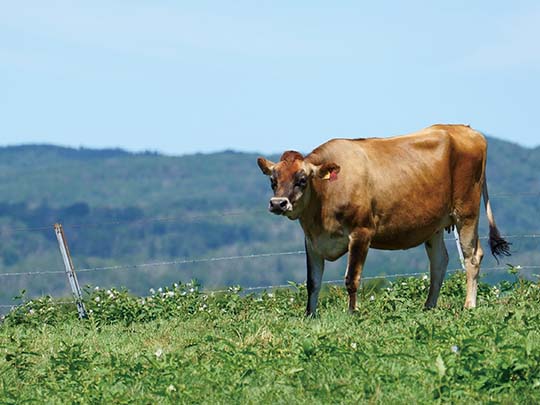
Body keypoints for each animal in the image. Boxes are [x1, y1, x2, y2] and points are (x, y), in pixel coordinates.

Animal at [258, 124, 510, 316]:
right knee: (440, 262)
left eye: (302, 180)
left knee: (472, 256)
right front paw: (309, 316)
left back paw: (469, 305)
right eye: (273, 180)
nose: (278, 203)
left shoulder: (361, 232)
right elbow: (313, 282)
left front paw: (352, 314)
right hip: (435, 224)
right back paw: (428, 306)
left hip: (466, 212)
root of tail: (467, 129)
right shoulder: (312, 241)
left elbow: (352, 278)